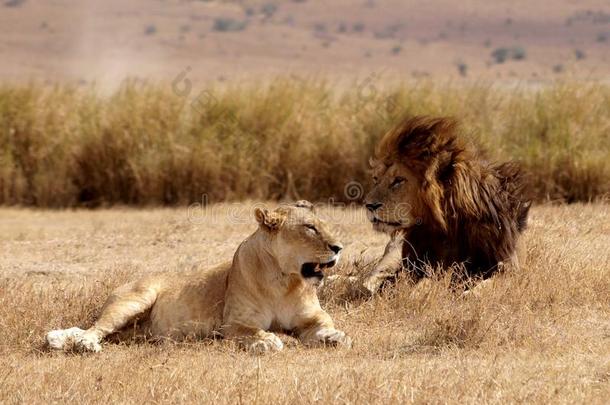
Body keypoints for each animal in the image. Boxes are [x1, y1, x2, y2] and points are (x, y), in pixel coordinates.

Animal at [45, 200, 350, 352]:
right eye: (310, 228)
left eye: (323, 225)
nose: (339, 247)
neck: (284, 280)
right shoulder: (233, 324)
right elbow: (254, 332)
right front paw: (267, 341)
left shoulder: (313, 317)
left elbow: (329, 327)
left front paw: (335, 337)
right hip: (135, 299)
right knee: (95, 329)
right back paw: (85, 345)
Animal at [360, 115, 528, 292]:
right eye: (376, 179)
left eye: (398, 180)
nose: (368, 205)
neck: (450, 227)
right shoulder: (419, 264)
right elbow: (421, 280)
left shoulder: (509, 267)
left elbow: (487, 285)